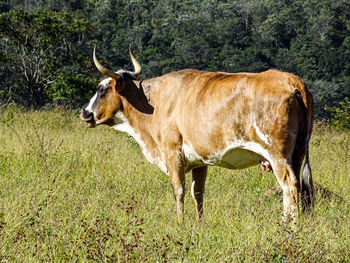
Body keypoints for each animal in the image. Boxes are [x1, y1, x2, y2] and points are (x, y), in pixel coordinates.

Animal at [80, 47, 316, 225]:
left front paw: (180, 223)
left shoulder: (173, 154)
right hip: (297, 154)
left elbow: (179, 191)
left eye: (101, 90)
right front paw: (199, 223)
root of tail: (292, 81)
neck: (152, 102)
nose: (85, 112)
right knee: (299, 187)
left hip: (278, 155)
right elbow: (198, 193)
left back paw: (289, 226)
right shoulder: (200, 161)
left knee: (290, 186)